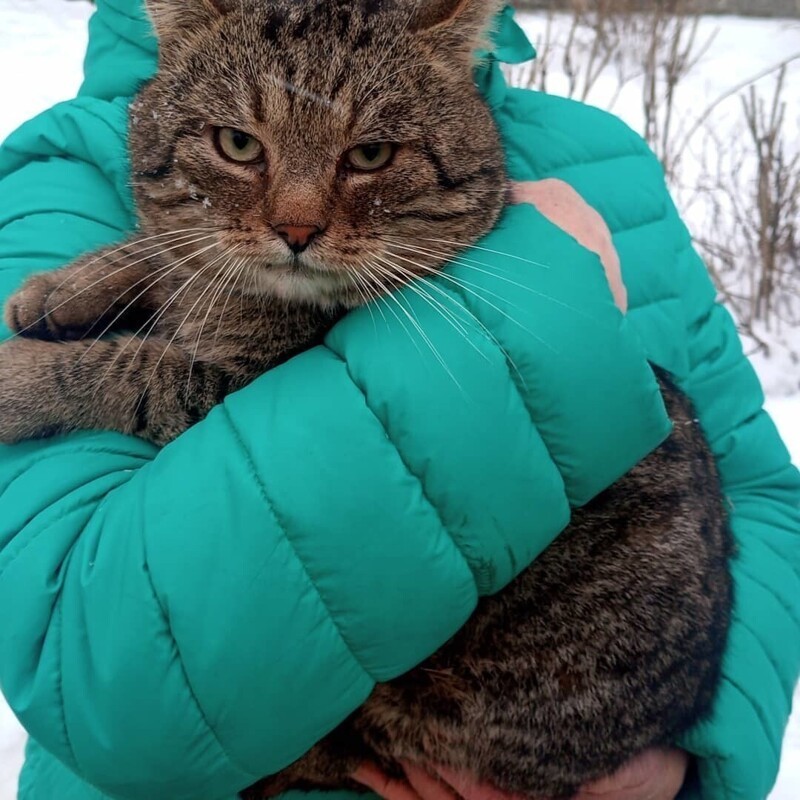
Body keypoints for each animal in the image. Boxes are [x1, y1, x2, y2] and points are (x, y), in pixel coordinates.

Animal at [0, 0, 732, 796]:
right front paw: (65, 287)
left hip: (432, 698)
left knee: (332, 747)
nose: (295, 231)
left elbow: (126, 366)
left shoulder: (230, 384)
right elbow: (162, 255)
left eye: (371, 156)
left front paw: (21, 376)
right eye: (238, 144)